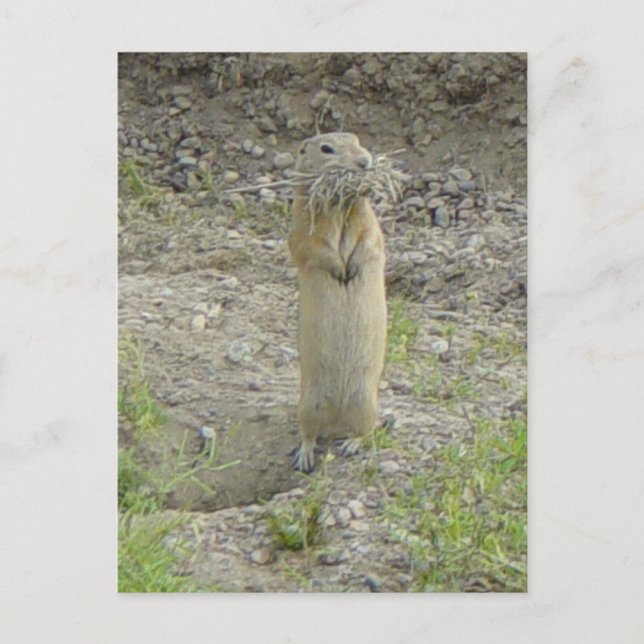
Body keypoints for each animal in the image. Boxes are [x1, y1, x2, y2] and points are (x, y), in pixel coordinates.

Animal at [288, 132, 387, 472]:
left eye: (358, 140)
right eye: (326, 148)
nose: (364, 162)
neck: (342, 205)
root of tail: (336, 421)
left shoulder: (369, 221)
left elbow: (370, 241)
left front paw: (351, 269)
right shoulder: (303, 224)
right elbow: (313, 247)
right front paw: (340, 270)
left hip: (366, 402)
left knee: (366, 430)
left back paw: (351, 445)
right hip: (308, 404)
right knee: (308, 433)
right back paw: (305, 457)